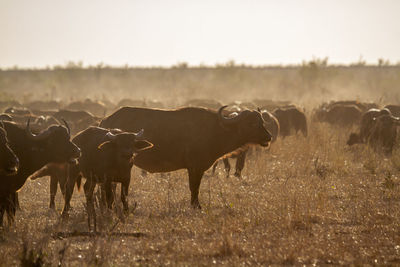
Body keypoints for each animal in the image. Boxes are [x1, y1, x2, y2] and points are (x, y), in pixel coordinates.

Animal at [99, 105, 272, 209]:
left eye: (262, 121)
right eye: (250, 123)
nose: (268, 137)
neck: (216, 130)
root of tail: (106, 120)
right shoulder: (195, 167)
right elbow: (194, 187)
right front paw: (196, 206)